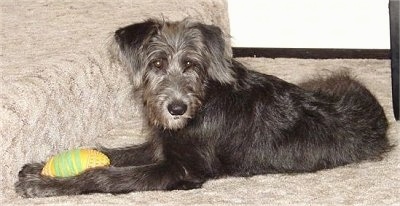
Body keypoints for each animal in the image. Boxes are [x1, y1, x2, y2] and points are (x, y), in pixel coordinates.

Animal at [14, 18, 390, 197]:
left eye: (192, 65)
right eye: (157, 63)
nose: (177, 109)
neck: (203, 102)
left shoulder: (183, 169)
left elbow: (107, 175)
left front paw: (45, 186)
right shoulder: (162, 145)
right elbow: (112, 153)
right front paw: (39, 168)